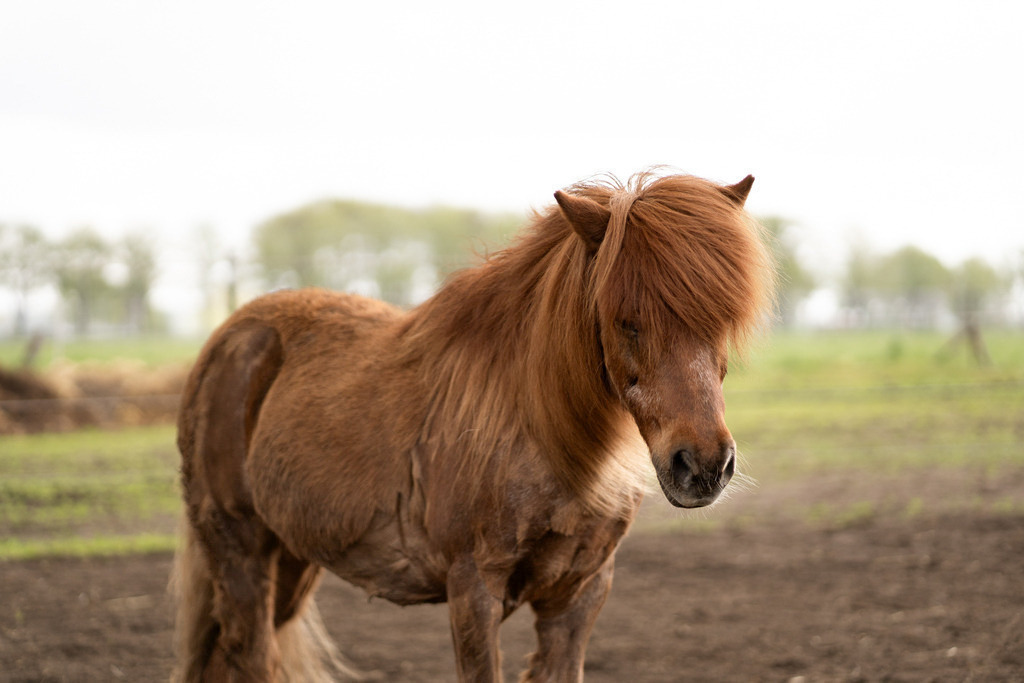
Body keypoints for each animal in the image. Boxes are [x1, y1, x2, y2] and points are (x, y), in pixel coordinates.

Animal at [172, 170, 775, 682]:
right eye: (626, 322)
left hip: (292, 560)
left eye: (721, 320)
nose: (703, 467)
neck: (539, 433)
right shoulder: (473, 590)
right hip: (241, 552)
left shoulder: (578, 595)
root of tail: (231, 337)